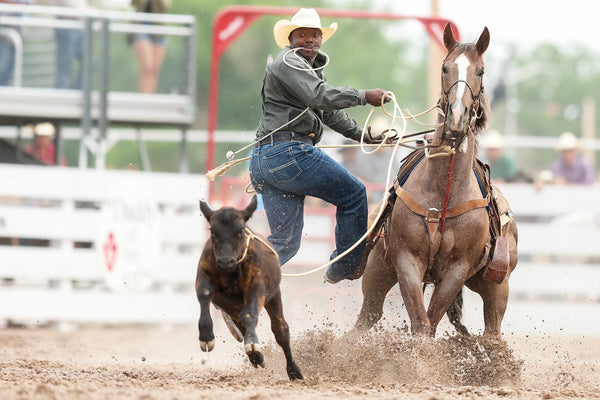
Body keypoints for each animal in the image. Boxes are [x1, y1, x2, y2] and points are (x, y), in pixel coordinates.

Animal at [196, 197, 302, 382]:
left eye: (240, 231)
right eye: (213, 232)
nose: (225, 261)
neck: (230, 272)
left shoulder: (256, 289)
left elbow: (250, 314)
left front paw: (252, 346)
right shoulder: (203, 277)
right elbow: (204, 297)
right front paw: (206, 337)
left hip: (274, 297)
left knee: (280, 330)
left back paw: (292, 370)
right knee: (242, 325)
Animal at [354, 24, 516, 338]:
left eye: (480, 71)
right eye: (444, 68)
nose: (457, 117)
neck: (445, 191)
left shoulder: (456, 270)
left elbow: (429, 321)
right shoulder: (406, 260)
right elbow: (421, 323)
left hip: (496, 286)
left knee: (494, 332)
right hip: (378, 273)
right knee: (366, 317)